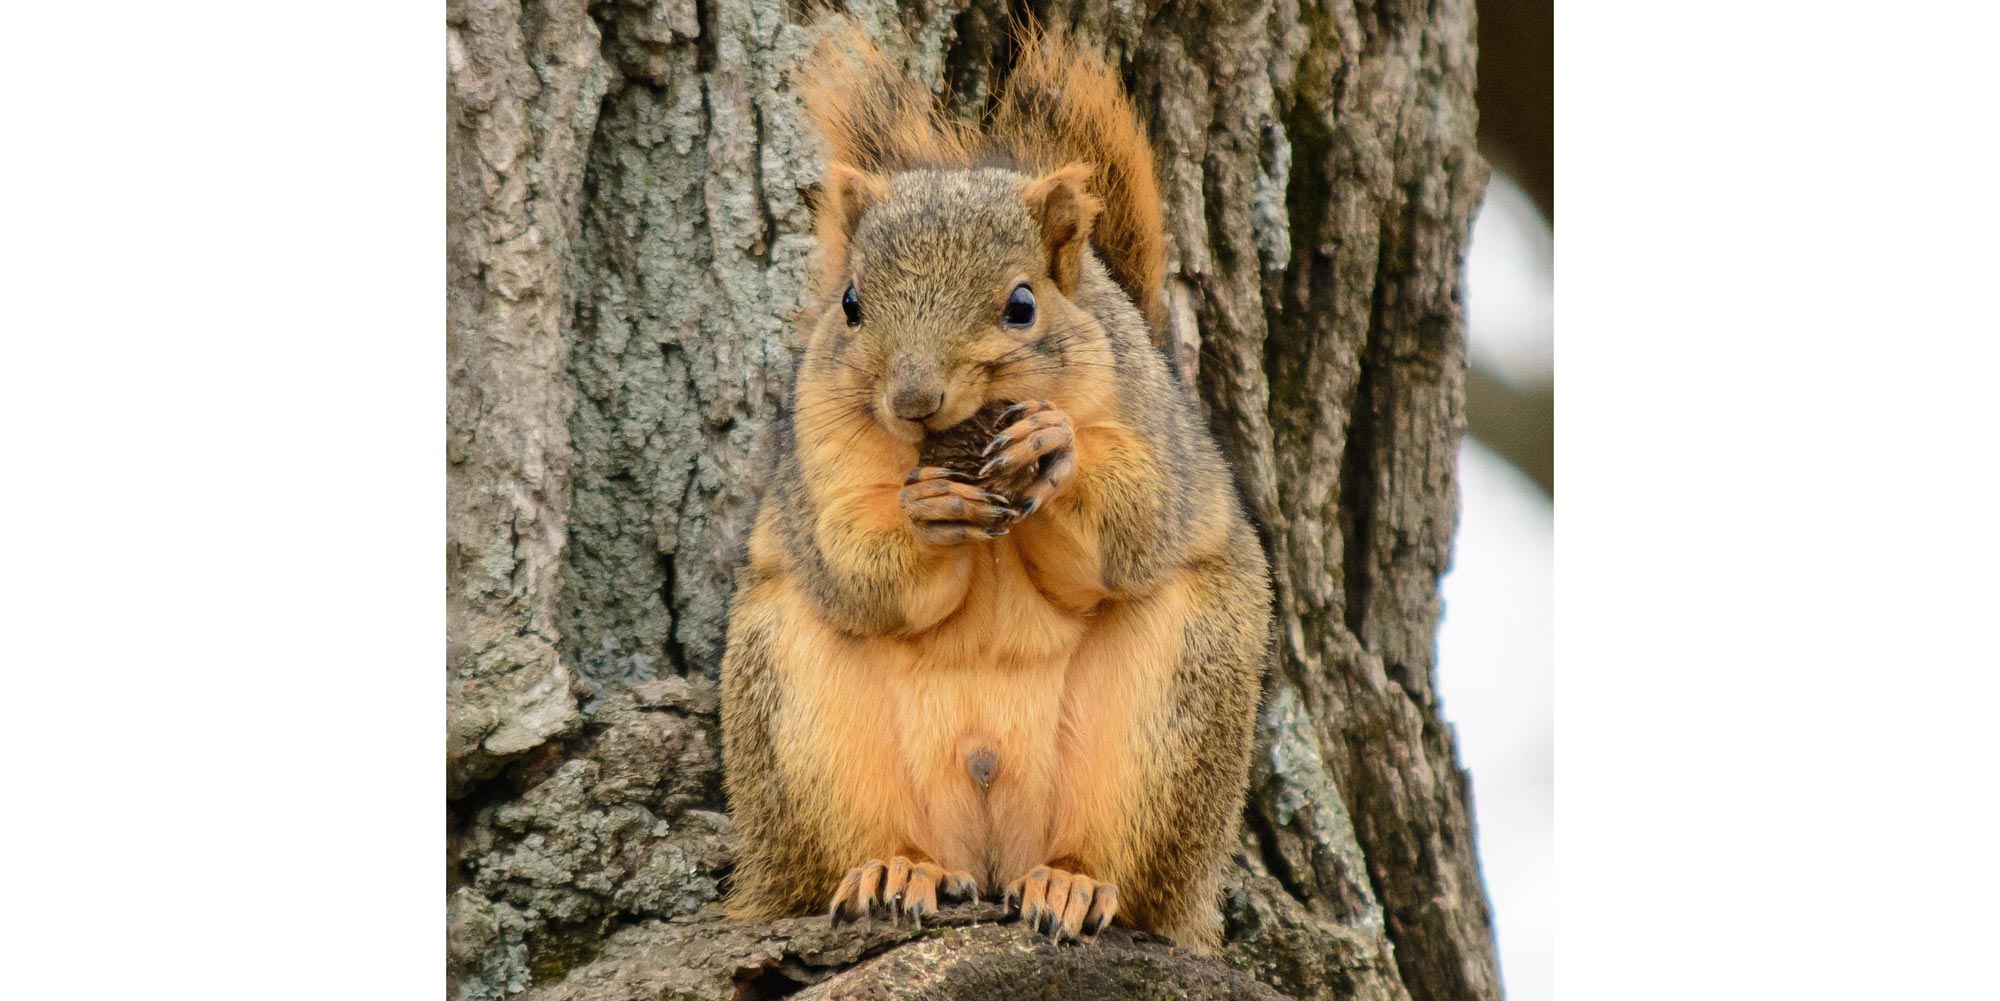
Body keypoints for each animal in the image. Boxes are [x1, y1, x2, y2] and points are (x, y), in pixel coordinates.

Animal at [728, 19, 1272, 948]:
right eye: (850, 304)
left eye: (1022, 304)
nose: (913, 401)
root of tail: (988, 854)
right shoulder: (818, 460)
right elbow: (852, 564)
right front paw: (925, 513)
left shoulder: (1153, 429)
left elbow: (1131, 529)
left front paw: (1056, 450)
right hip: (799, 716)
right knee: (857, 844)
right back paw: (893, 867)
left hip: (1173, 714)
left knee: (1120, 866)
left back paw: (1069, 882)